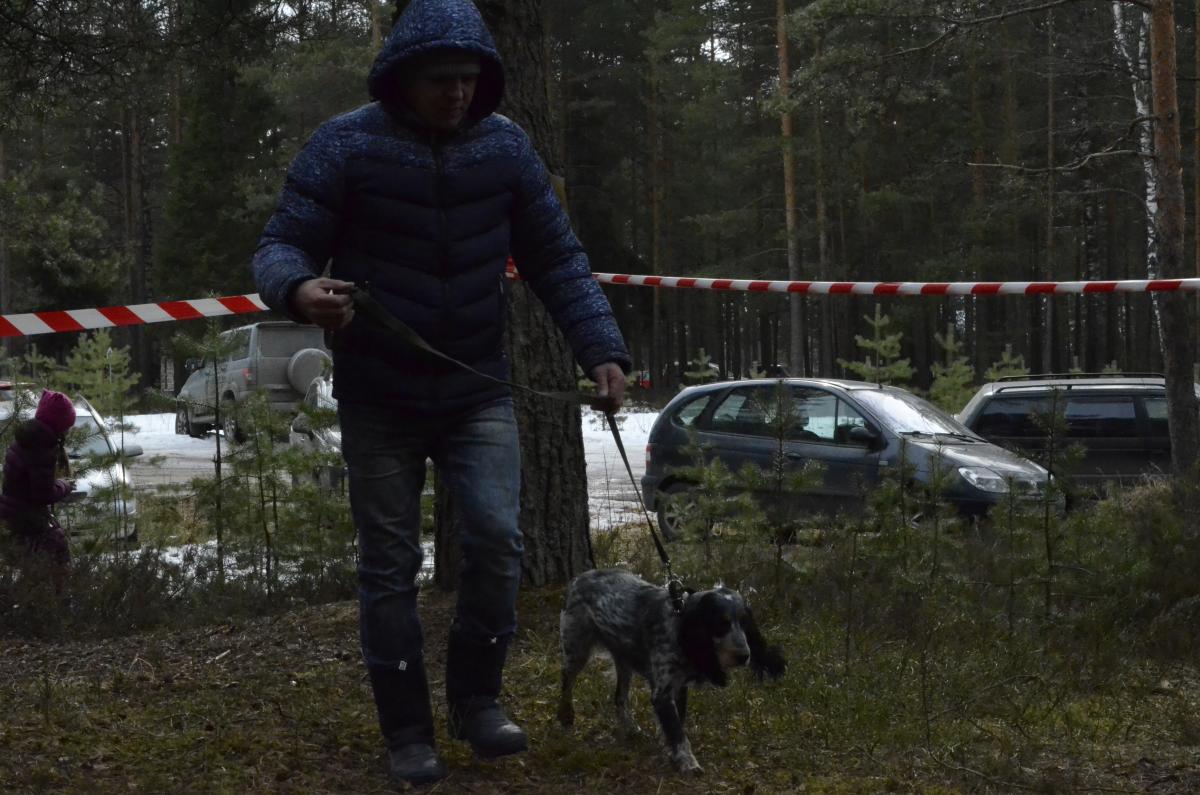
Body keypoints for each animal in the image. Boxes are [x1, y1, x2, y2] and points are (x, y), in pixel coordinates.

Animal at [557, 568, 786, 773]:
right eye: (721, 624)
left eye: (745, 623)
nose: (744, 656)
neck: (680, 624)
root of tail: (580, 577)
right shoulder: (663, 693)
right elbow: (677, 731)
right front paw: (688, 762)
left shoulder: (679, 686)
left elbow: (676, 723)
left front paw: (670, 751)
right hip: (576, 650)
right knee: (566, 682)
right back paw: (565, 716)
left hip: (624, 659)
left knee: (620, 697)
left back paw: (631, 729)